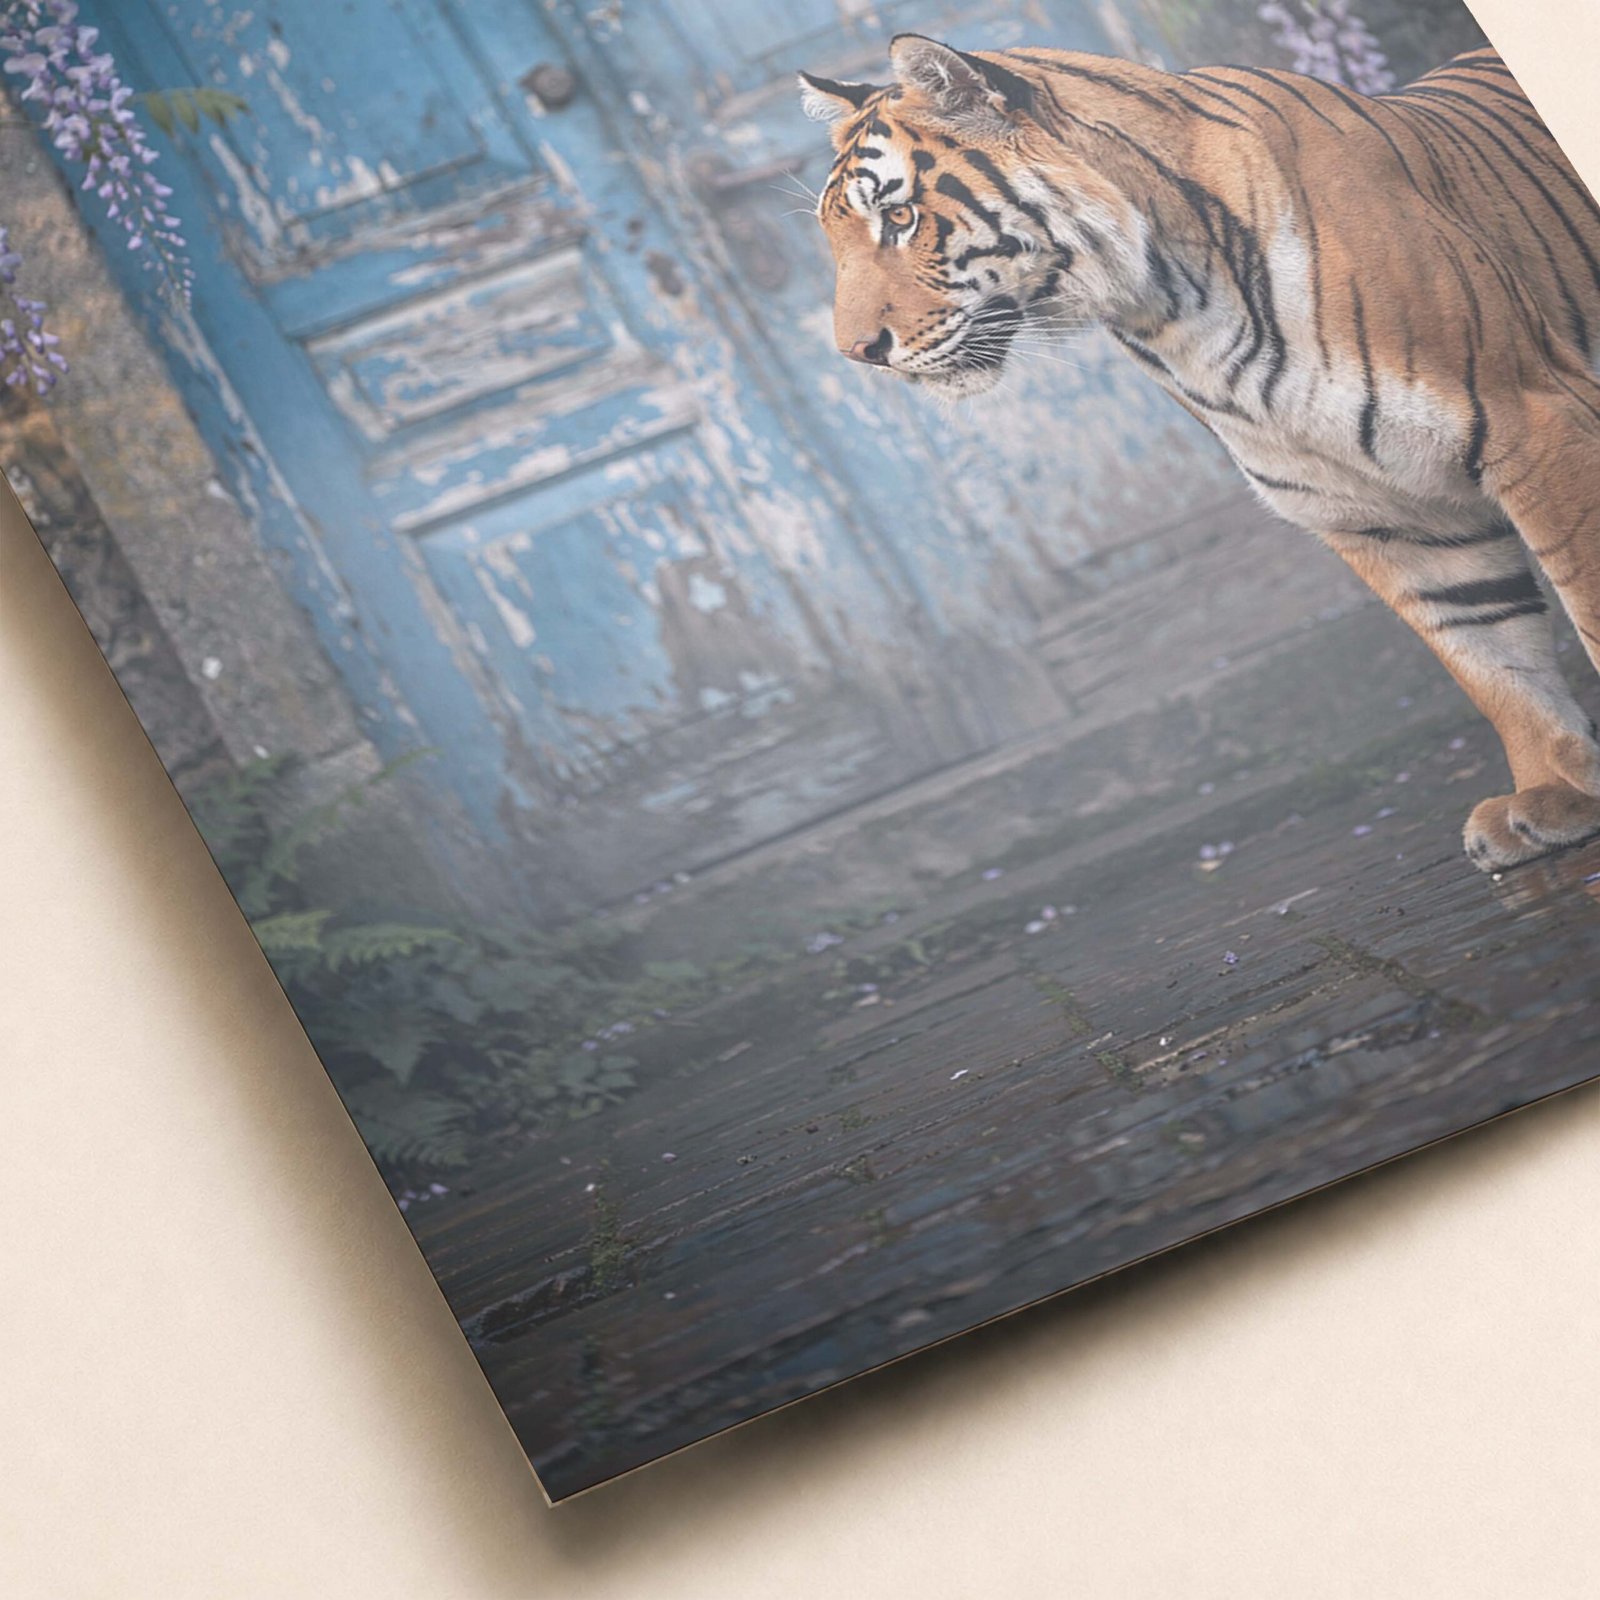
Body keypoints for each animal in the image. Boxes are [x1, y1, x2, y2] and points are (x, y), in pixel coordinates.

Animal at [799, 36, 1600, 873]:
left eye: (900, 217)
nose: (855, 353)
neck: (1173, 315)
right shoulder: (1378, 513)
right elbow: (1490, 657)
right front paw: (1556, 793)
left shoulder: (1532, 421)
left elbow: (1582, 601)